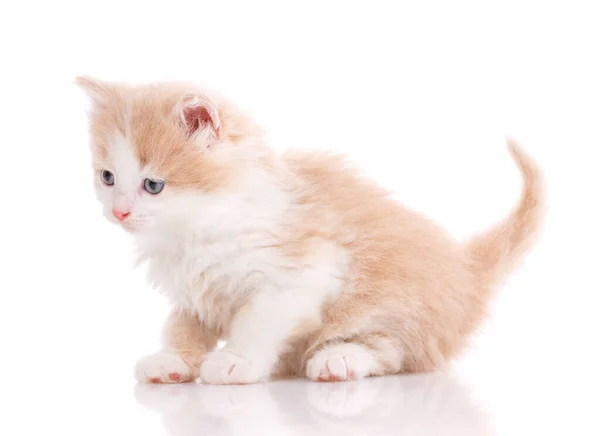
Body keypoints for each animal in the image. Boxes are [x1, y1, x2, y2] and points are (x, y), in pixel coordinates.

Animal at [75, 76, 544, 384]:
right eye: (107, 178)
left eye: (153, 185)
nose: (119, 212)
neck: (200, 225)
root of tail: (465, 270)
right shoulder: (195, 291)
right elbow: (182, 325)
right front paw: (173, 360)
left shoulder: (303, 270)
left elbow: (260, 318)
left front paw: (237, 361)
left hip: (391, 295)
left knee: (397, 348)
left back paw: (340, 358)